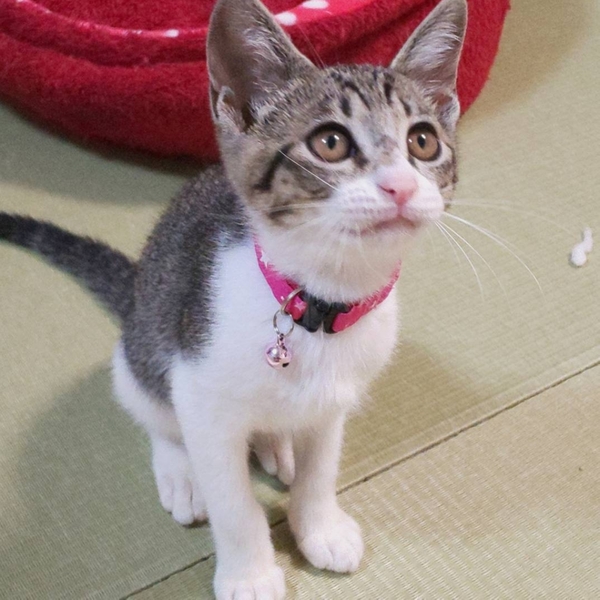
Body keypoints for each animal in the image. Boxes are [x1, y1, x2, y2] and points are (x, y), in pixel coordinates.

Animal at [0, 0, 466, 597]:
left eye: (423, 141)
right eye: (331, 143)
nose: (401, 187)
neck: (322, 301)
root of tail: (134, 292)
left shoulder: (336, 401)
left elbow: (322, 467)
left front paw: (318, 526)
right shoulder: (202, 394)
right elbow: (233, 501)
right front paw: (251, 572)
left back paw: (276, 445)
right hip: (141, 350)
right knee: (154, 413)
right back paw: (181, 472)